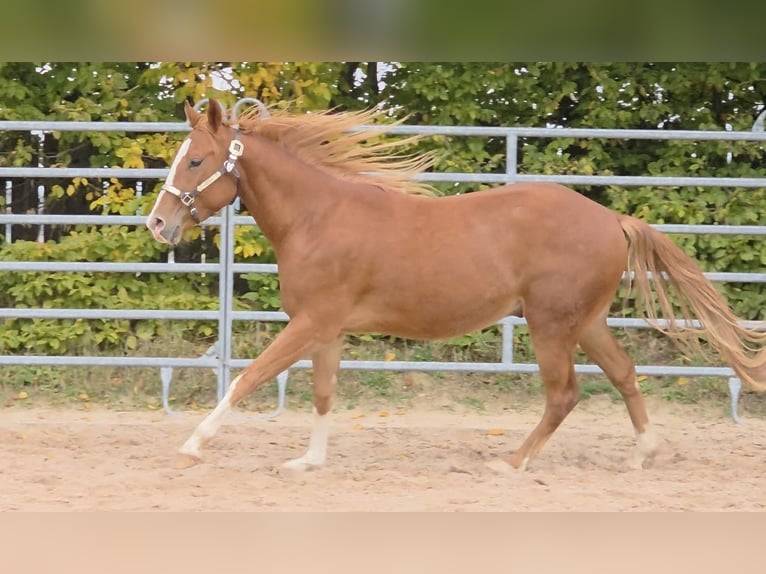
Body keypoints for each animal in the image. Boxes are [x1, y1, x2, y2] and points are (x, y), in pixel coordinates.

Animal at [146, 99, 766, 473]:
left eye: (195, 160)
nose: (157, 224)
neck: (316, 219)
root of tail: (612, 219)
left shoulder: (310, 323)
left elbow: (247, 378)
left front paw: (193, 443)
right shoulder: (327, 330)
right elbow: (323, 394)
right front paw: (309, 462)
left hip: (550, 323)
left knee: (564, 394)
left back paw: (512, 462)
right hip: (586, 320)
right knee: (624, 374)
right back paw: (644, 453)